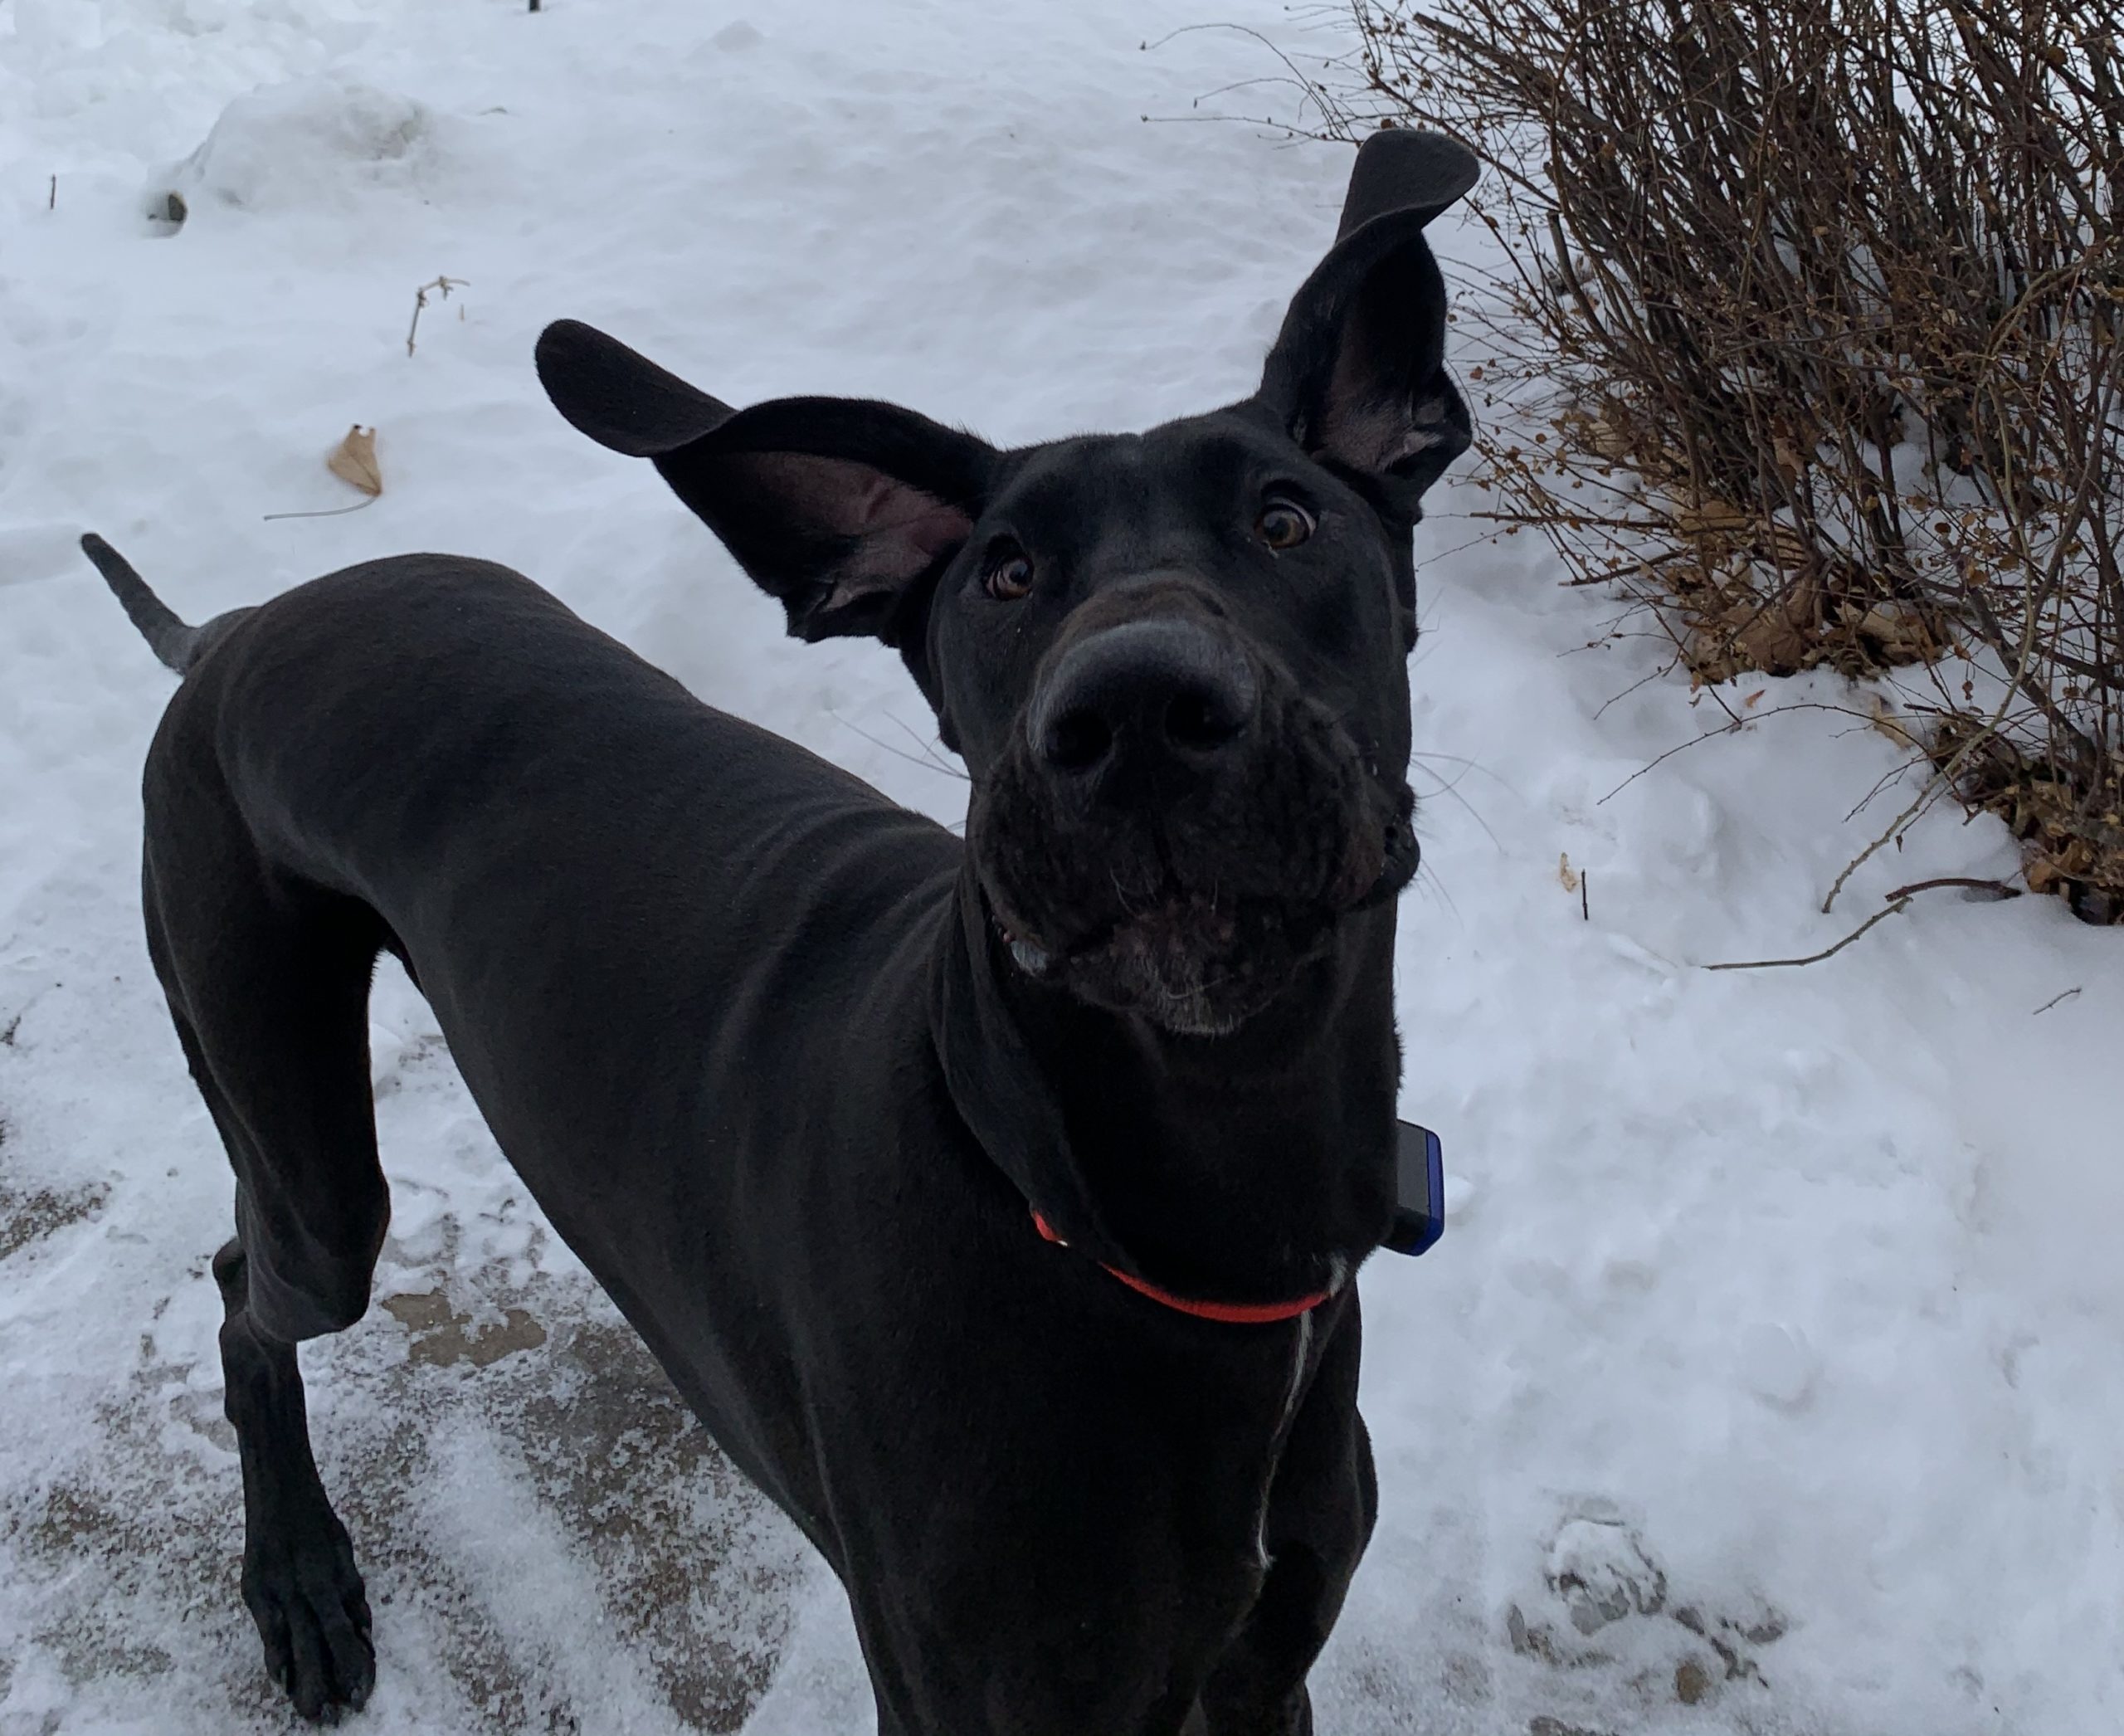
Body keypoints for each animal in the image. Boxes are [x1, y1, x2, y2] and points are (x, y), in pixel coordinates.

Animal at [83, 129, 1475, 1733]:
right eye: (1004, 573)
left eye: (1286, 519)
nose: (1132, 711)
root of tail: (237, 626)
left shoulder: (1261, 1677)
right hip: (297, 1137)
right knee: (247, 1290)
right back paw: (299, 1578)